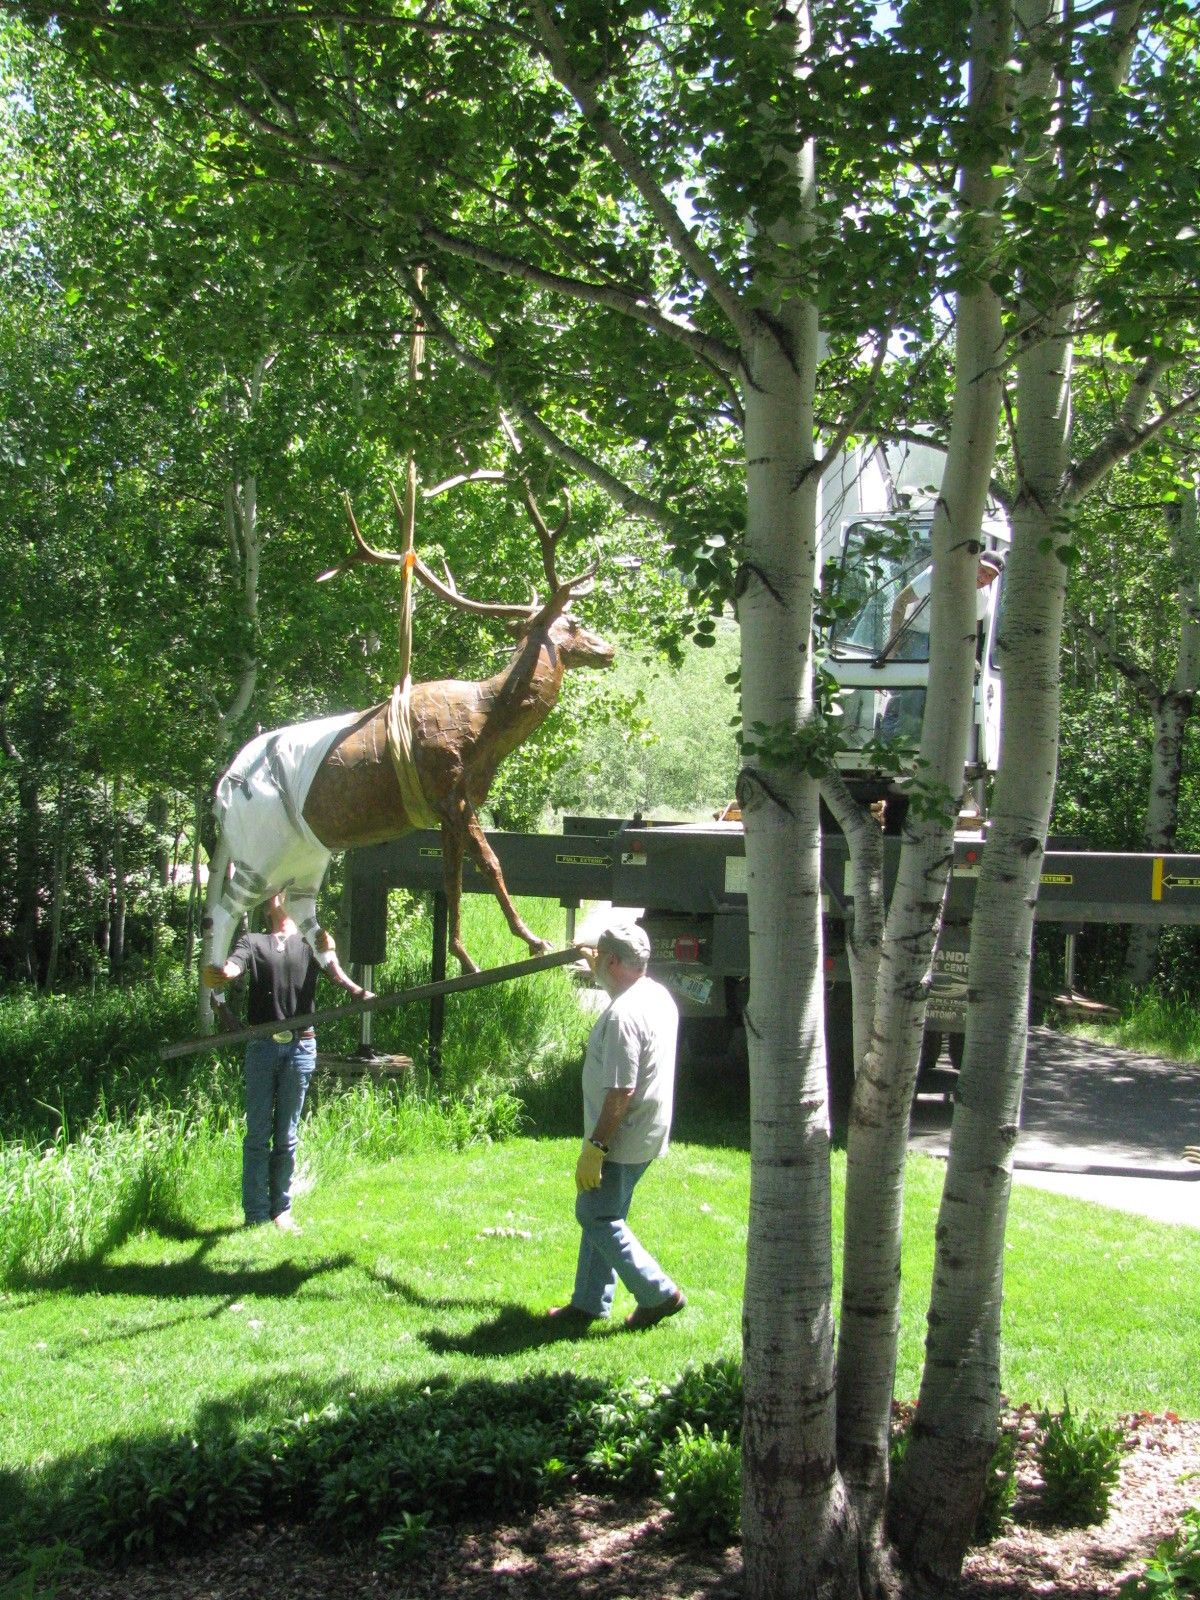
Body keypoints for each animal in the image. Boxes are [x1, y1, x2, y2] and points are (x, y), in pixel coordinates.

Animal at [201, 482, 614, 1003]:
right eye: (575, 622)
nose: (609, 649)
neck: (484, 726)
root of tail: (220, 794)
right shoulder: (448, 786)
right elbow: (491, 865)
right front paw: (533, 940)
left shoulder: (448, 806)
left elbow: (452, 878)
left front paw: (464, 959)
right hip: (259, 846)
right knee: (223, 910)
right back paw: (219, 991)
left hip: (307, 852)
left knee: (300, 914)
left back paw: (355, 990)